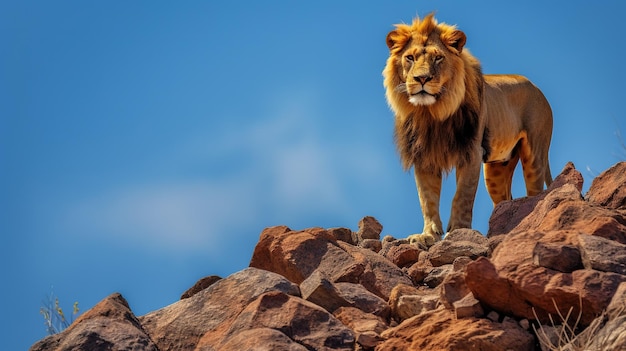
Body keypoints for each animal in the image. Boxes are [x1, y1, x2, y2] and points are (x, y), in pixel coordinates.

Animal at [380, 12, 552, 246]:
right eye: (410, 58)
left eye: (438, 58)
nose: (422, 78)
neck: (432, 113)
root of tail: (536, 87)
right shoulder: (424, 156)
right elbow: (427, 199)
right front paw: (428, 235)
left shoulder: (471, 153)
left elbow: (463, 195)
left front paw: (458, 231)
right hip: (497, 171)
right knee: (505, 200)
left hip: (535, 157)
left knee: (535, 192)